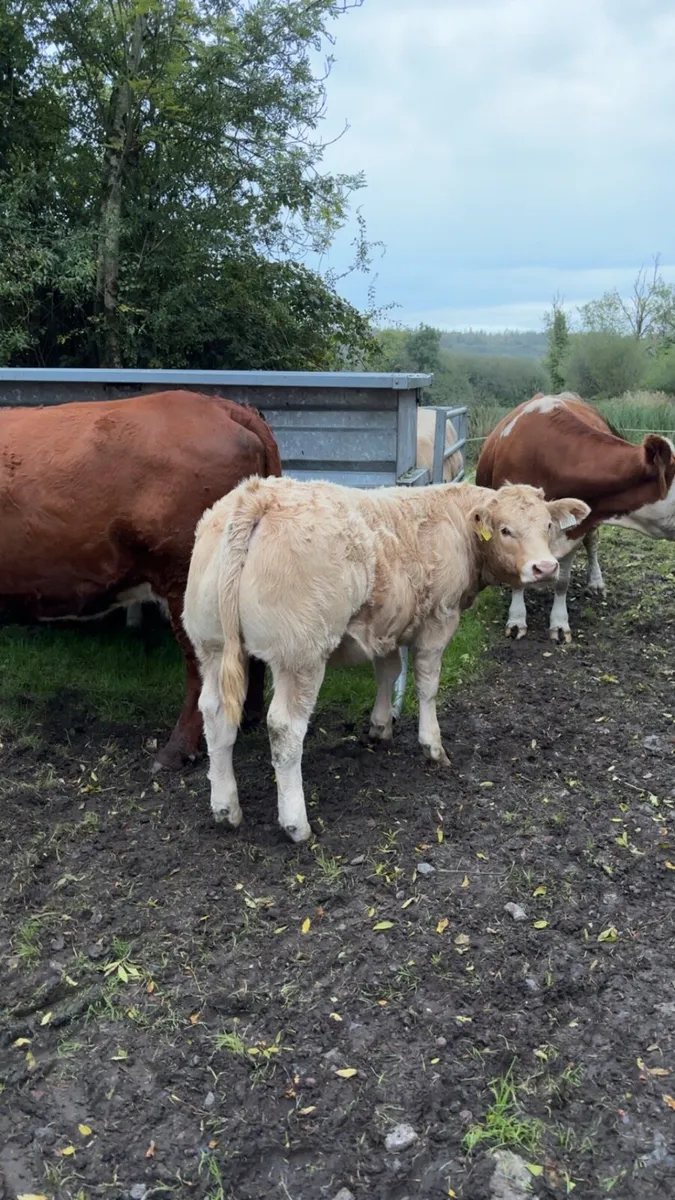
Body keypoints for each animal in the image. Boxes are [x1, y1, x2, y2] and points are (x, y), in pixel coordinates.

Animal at [182, 476, 590, 842]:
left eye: (547, 525)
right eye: (505, 530)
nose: (545, 568)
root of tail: (256, 494)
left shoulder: (387, 625)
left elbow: (389, 672)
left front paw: (380, 726)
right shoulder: (438, 620)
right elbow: (427, 685)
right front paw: (432, 746)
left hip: (211, 645)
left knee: (214, 714)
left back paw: (225, 807)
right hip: (300, 654)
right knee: (285, 728)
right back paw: (296, 824)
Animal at [476, 392, 675, 642]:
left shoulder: (574, 532)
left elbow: (563, 581)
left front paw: (559, 624)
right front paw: (516, 620)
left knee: (593, 543)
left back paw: (595, 582)